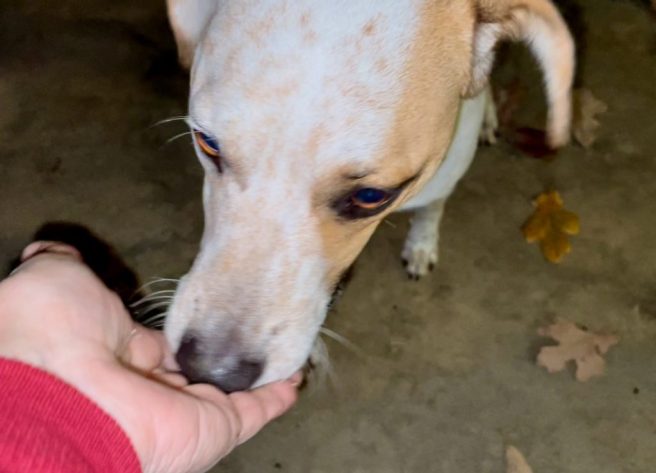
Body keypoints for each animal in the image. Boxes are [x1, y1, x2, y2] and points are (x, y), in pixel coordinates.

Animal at [164, 0, 576, 390]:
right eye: (207, 143)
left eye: (371, 195)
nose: (211, 371)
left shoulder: (443, 172)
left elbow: (432, 208)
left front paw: (422, 244)